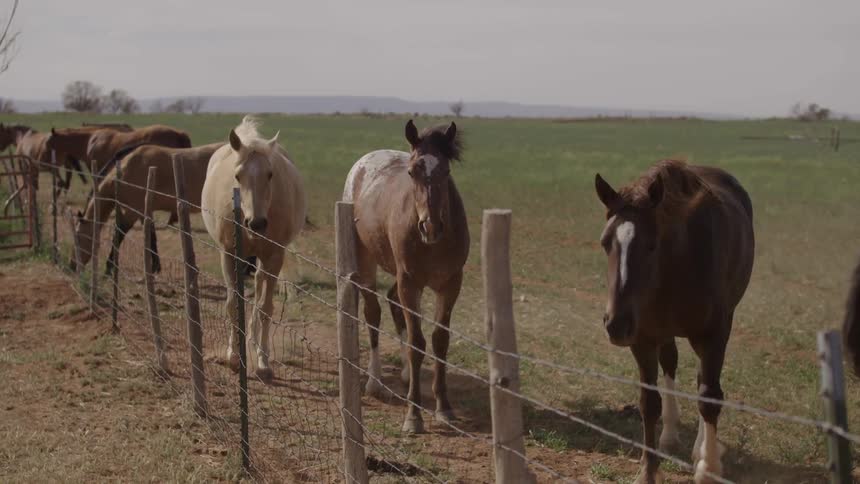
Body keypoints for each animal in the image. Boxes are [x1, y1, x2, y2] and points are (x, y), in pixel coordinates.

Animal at [71, 143, 225, 277]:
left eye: (78, 237)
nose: (71, 266)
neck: (127, 169)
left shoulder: (132, 212)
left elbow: (118, 235)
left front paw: (109, 268)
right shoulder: (143, 211)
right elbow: (151, 236)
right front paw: (155, 267)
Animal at [201, 116, 306, 382]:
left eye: (270, 174)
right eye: (238, 176)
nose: (256, 223)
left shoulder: (274, 257)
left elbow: (266, 308)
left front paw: (262, 362)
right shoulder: (228, 254)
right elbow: (232, 303)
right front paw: (233, 356)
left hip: (264, 261)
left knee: (259, 297)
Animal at [342, 120, 469, 434]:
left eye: (446, 171)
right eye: (412, 172)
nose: (430, 226)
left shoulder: (450, 284)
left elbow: (439, 341)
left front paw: (444, 408)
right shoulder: (410, 282)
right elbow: (416, 343)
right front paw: (414, 415)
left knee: (392, 303)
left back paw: (404, 374)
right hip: (367, 263)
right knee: (373, 313)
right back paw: (375, 382)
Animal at [594, 160, 754, 484]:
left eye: (652, 245)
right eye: (605, 243)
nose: (616, 324)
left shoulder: (714, 333)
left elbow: (709, 397)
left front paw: (709, 468)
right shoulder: (643, 337)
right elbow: (649, 402)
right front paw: (647, 470)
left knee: (704, 382)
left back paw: (703, 449)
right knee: (671, 362)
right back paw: (669, 435)